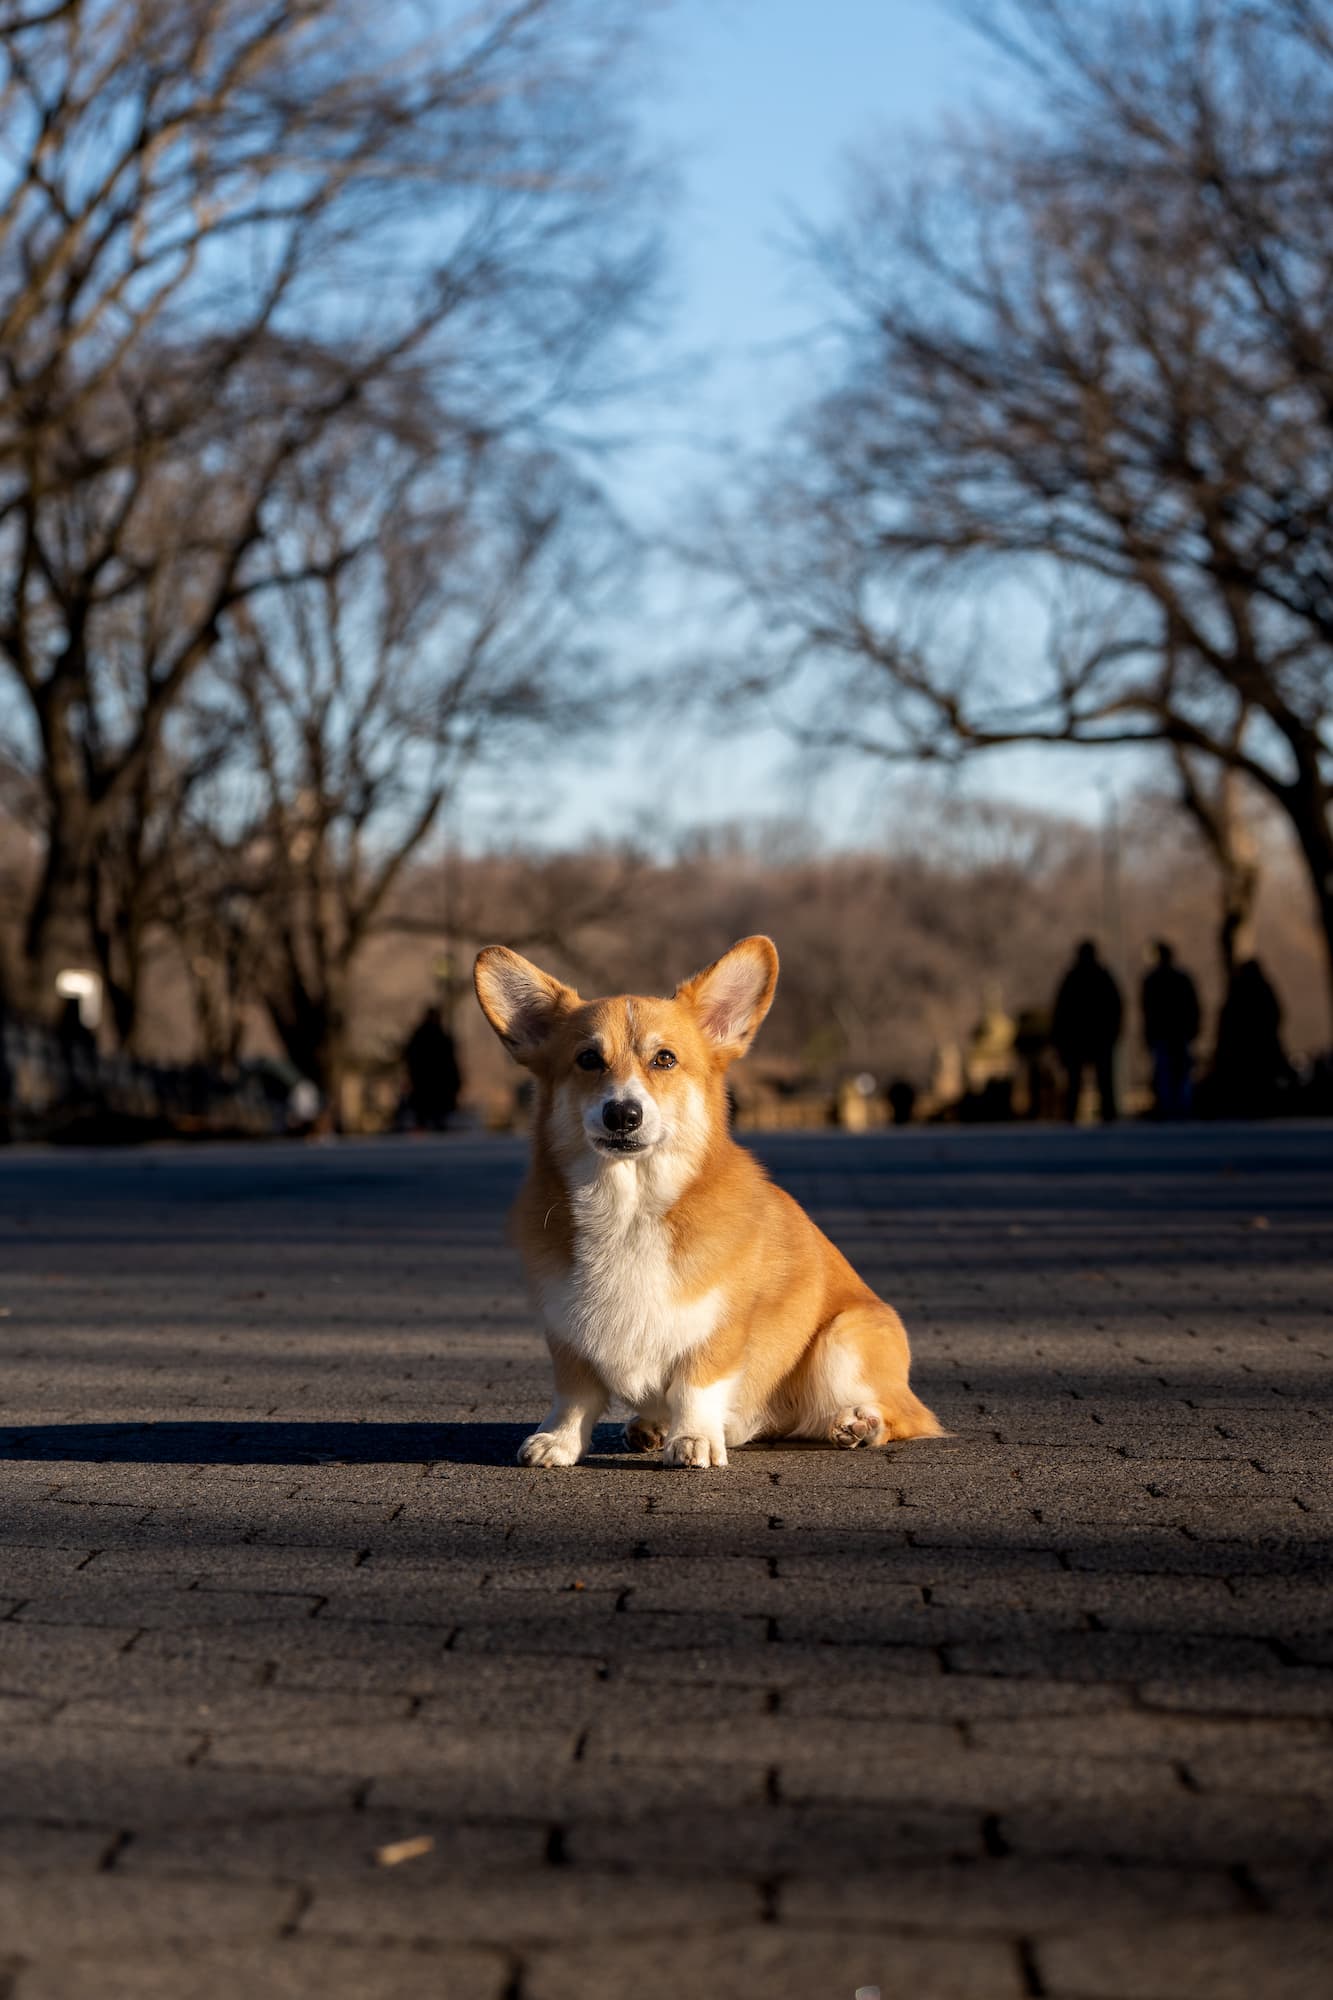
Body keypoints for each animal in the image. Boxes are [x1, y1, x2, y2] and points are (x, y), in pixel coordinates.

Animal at [472, 936, 940, 1472]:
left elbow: (695, 1386)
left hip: (842, 1340)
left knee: (904, 1416)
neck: (629, 1209)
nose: (623, 1114)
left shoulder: (717, 1329)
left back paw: (859, 1425)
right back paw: (650, 1426)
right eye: (588, 1059)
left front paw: (693, 1439)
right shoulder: (567, 1330)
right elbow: (575, 1396)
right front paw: (559, 1441)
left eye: (665, 1059)